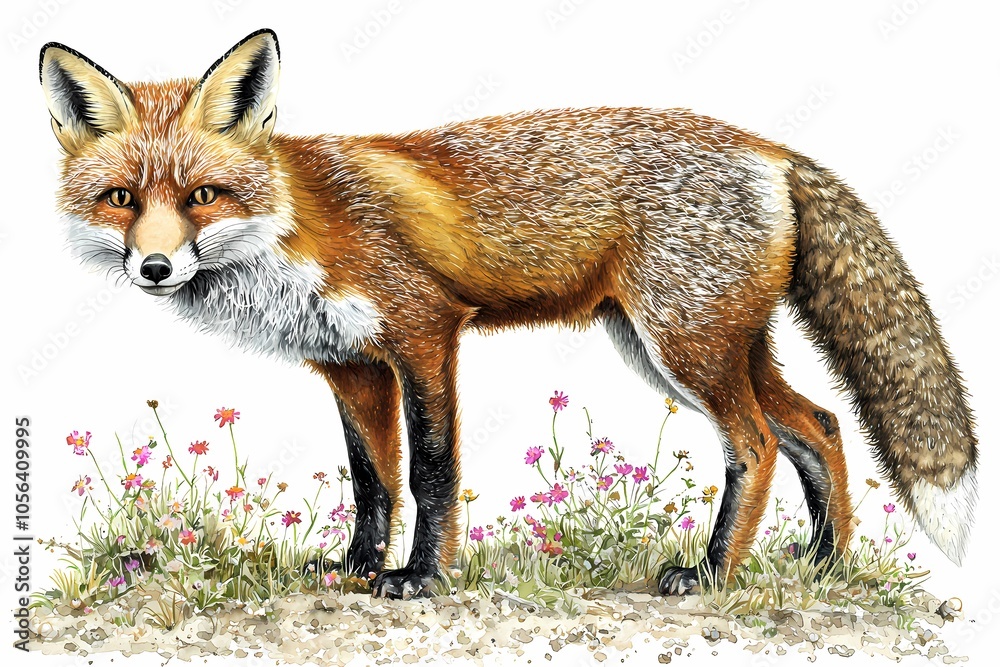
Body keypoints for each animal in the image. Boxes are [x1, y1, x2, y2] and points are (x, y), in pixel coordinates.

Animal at [39, 29, 977, 599]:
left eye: (203, 195)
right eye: (122, 199)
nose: (155, 266)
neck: (293, 230)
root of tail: (770, 148)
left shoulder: (424, 334)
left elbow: (430, 471)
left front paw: (420, 578)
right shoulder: (351, 365)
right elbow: (371, 481)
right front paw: (354, 568)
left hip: (685, 349)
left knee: (756, 442)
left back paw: (712, 574)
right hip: (695, 345)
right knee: (819, 423)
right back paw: (823, 563)